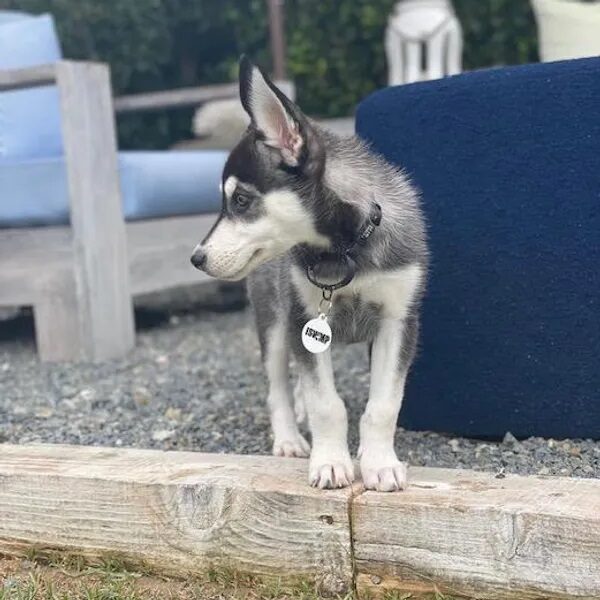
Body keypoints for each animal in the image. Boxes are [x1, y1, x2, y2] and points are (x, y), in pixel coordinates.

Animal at [192, 57, 426, 492]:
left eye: (241, 200)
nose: (197, 258)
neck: (346, 251)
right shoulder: (304, 318)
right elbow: (326, 403)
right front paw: (331, 461)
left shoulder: (399, 322)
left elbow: (383, 404)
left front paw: (380, 463)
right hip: (273, 324)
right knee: (279, 388)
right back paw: (289, 438)